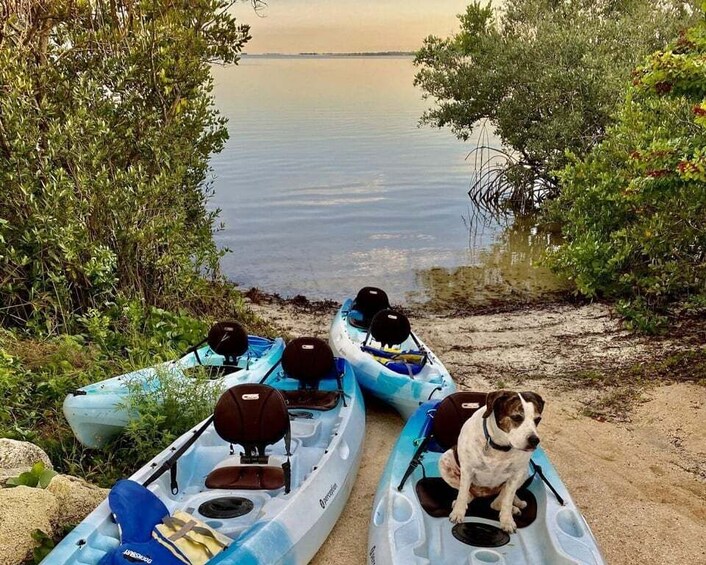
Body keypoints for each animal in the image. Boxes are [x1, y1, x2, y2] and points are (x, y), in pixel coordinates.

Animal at [440, 390, 544, 532]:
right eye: (516, 417)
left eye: (537, 420)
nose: (535, 440)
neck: (500, 446)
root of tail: (483, 494)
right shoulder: (467, 469)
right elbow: (462, 493)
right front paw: (458, 513)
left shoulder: (516, 475)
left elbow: (507, 500)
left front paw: (507, 520)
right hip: (445, 459)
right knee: (468, 495)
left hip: (524, 471)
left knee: (498, 502)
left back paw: (514, 506)